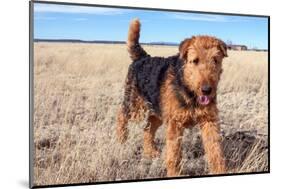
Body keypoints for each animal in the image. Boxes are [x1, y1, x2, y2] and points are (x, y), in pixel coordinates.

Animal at [116, 18, 228, 176]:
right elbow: (174, 155)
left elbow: (215, 152)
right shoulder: (175, 124)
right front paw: (175, 174)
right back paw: (121, 142)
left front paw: (220, 170)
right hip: (135, 106)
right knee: (121, 117)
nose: (206, 90)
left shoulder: (209, 121)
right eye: (195, 60)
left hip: (157, 111)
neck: (188, 89)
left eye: (215, 60)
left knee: (147, 129)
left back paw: (151, 152)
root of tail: (142, 58)